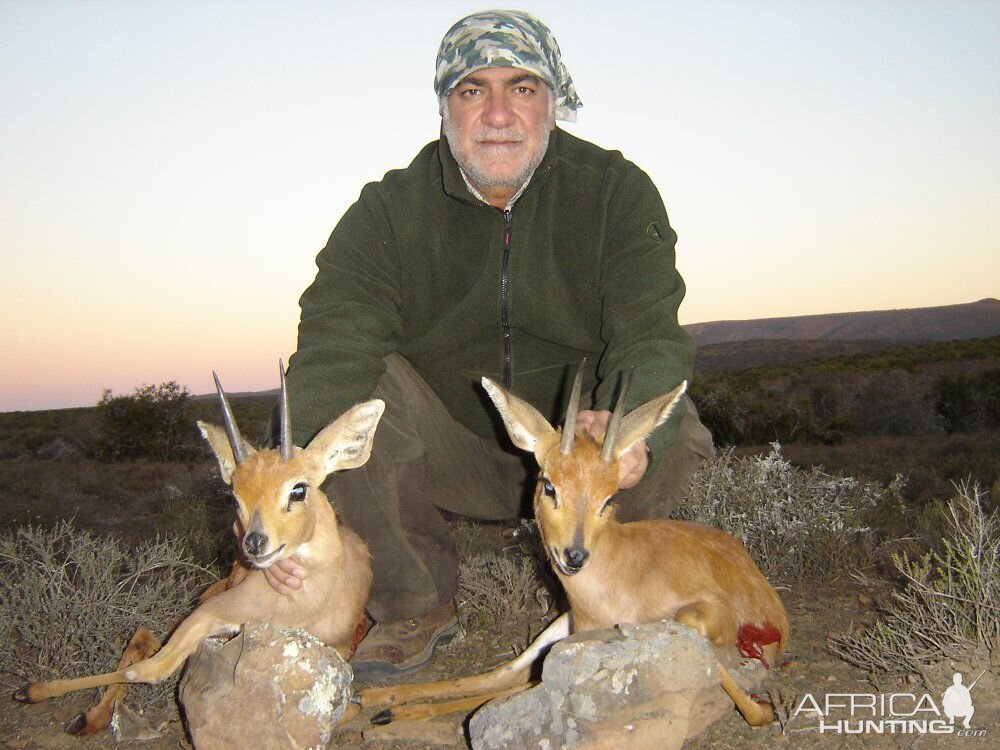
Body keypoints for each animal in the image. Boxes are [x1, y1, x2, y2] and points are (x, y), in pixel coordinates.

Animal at [15, 368, 382, 736]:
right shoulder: (213, 613)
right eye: (235, 497)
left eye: (298, 489)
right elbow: (146, 670)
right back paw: (67, 709)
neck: (304, 604)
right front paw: (33, 690)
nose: (254, 543)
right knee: (143, 637)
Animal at [360, 368, 788, 732]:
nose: (575, 555)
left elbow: (754, 712)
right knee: (502, 675)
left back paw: (384, 708)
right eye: (549, 485)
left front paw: (765, 708)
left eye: (609, 498)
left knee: (509, 680)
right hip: (555, 630)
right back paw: (377, 699)